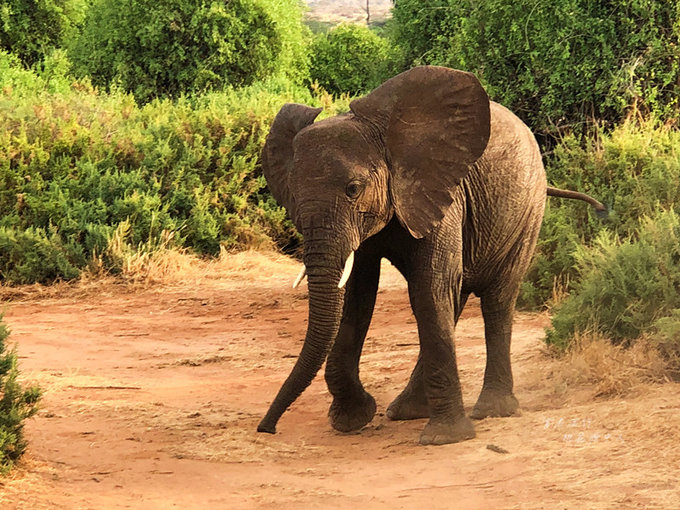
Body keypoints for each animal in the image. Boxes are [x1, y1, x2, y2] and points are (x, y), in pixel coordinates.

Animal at [256, 65, 604, 444]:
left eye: (353, 189)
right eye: (292, 195)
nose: (267, 428)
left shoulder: (441, 192)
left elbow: (428, 288)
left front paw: (445, 438)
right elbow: (357, 294)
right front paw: (353, 419)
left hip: (527, 211)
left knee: (495, 299)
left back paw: (491, 410)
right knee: (455, 297)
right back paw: (406, 410)